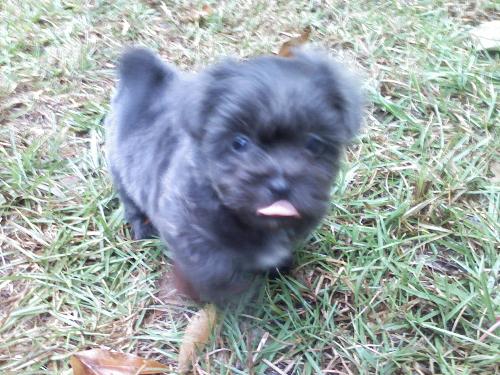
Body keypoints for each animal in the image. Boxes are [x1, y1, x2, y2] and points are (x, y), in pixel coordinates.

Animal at [106, 47, 364, 304]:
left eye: (313, 143)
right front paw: (225, 294)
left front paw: (278, 266)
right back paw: (143, 229)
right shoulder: (185, 228)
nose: (280, 185)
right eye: (239, 143)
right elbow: (213, 268)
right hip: (121, 171)